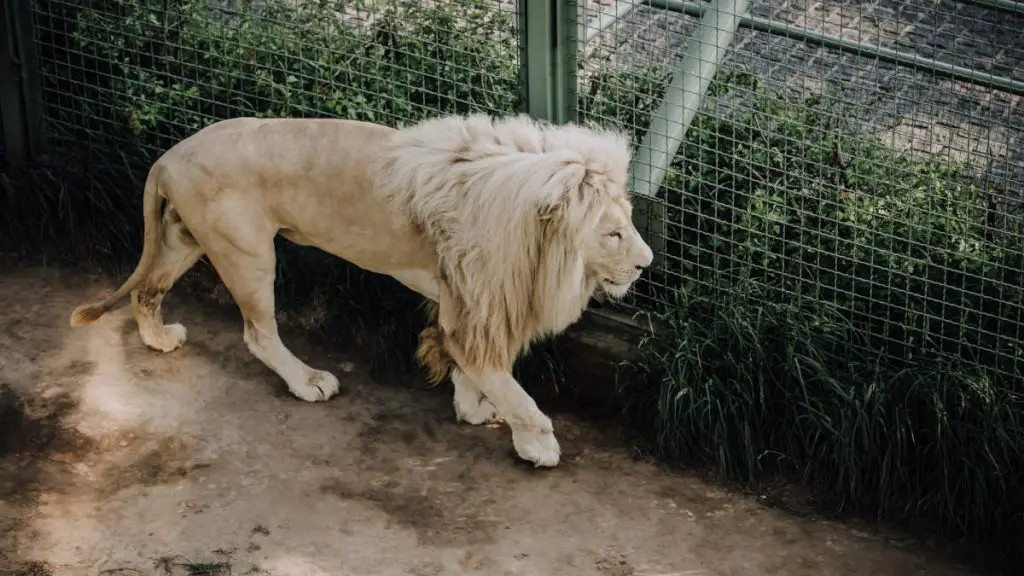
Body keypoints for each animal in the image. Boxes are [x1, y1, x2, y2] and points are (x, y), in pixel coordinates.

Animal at [68, 113, 651, 467]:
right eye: (613, 234)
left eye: (629, 224)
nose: (646, 264)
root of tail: (170, 154)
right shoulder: (474, 296)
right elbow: (505, 381)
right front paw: (536, 441)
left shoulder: (463, 294)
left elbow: (466, 361)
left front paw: (472, 407)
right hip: (247, 251)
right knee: (258, 334)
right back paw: (307, 381)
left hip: (183, 236)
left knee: (145, 292)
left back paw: (158, 339)